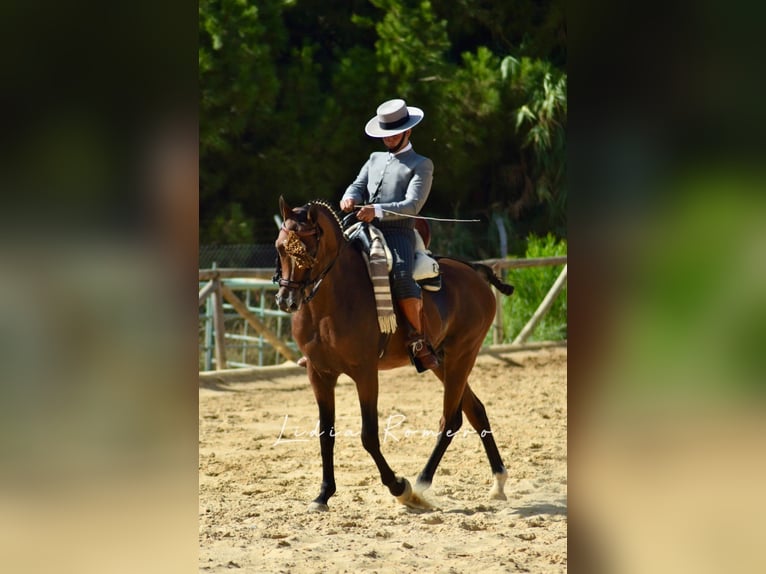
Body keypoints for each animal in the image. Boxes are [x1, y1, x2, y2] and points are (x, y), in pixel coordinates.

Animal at [273, 197, 515, 511]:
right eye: (280, 247)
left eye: (307, 250)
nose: (287, 300)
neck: (329, 303)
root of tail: (473, 271)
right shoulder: (320, 374)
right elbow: (326, 433)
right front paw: (323, 494)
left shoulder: (365, 374)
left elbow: (369, 436)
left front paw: (399, 486)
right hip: (440, 361)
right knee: (475, 410)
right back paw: (498, 482)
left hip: (463, 355)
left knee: (451, 419)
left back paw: (422, 483)